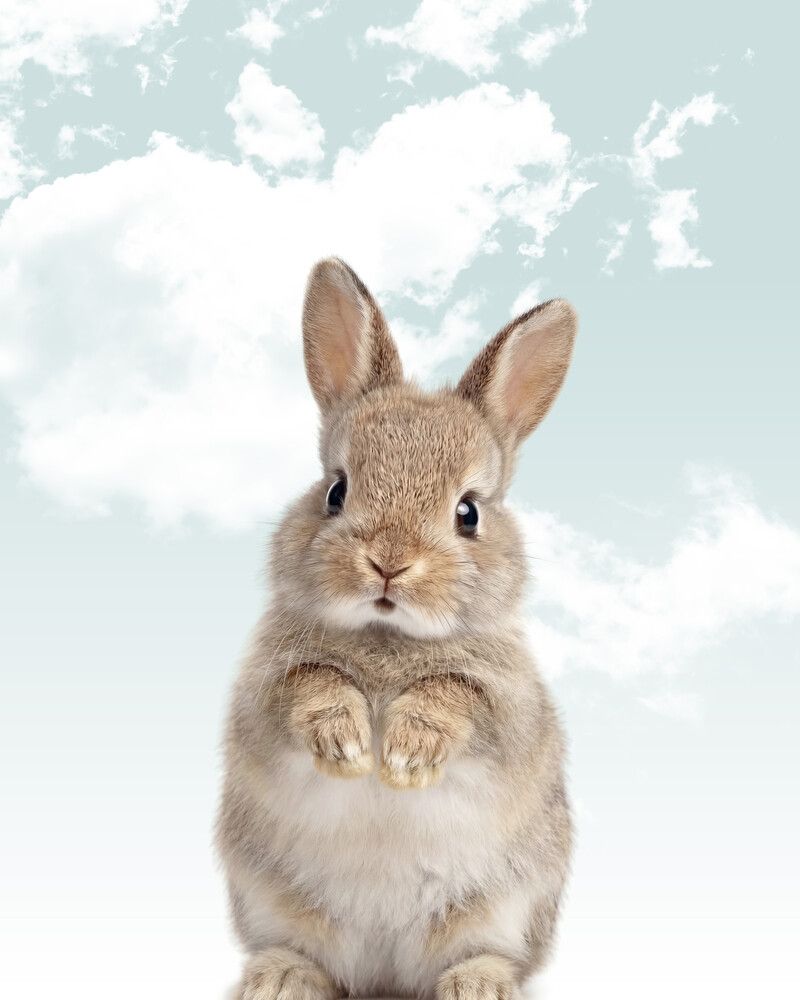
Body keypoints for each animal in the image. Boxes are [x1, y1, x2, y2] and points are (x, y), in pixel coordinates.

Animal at [216, 257, 577, 1000]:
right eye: (335, 491)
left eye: (468, 512)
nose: (388, 562)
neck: (389, 639)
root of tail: (385, 977)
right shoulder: (264, 692)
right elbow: (309, 686)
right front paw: (349, 746)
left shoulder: (508, 706)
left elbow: (456, 697)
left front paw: (406, 756)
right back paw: (280, 977)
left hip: (504, 908)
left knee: (486, 953)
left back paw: (479, 985)